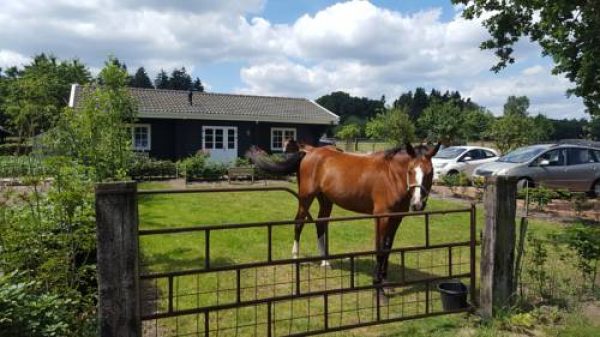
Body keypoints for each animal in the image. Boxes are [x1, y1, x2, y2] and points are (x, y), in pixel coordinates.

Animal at [245, 142, 440, 296]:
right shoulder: (382, 217)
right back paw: (295, 258)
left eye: (430, 172)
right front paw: (378, 285)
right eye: (411, 170)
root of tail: (309, 152)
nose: (418, 204)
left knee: (321, 224)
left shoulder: (396, 218)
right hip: (306, 197)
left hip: (325, 200)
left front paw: (385, 281)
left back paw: (325, 262)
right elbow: (380, 249)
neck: (391, 175)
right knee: (299, 223)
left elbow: (387, 248)